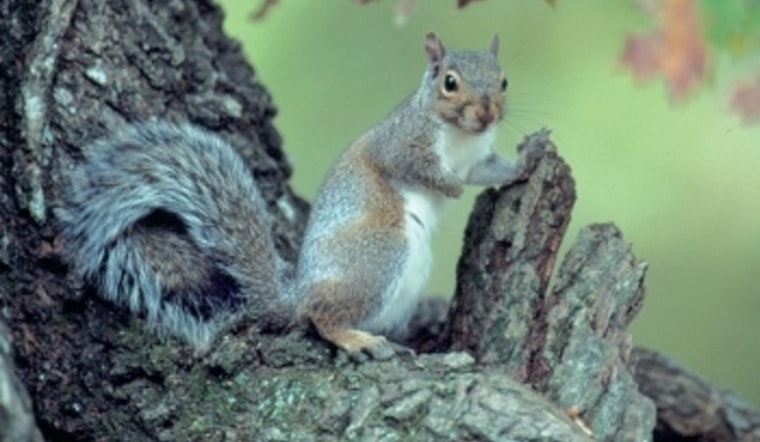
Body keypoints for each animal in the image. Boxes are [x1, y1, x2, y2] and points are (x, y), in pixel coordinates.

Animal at [58, 32, 546, 358]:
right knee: (319, 316)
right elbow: (414, 169)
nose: (487, 112)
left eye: (503, 81)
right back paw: (354, 339)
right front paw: (452, 187)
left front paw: (529, 159)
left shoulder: (478, 157)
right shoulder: (400, 144)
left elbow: (492, 170)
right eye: (449, 82)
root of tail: (296, 295)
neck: (460, 137)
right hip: (379, 252)